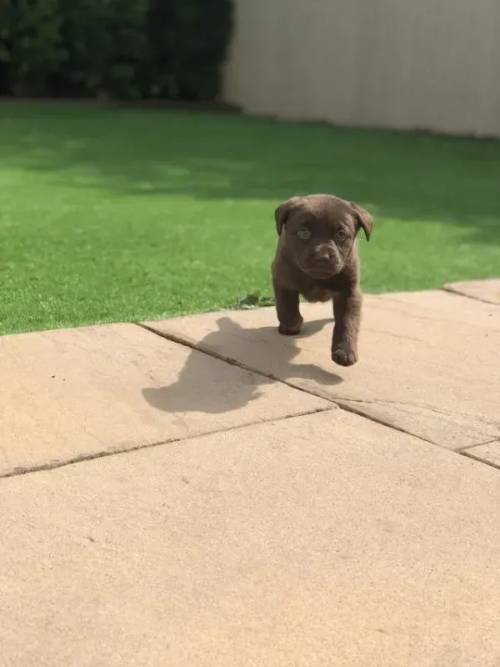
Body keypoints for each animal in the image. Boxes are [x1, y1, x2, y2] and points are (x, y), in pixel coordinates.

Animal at [272, 196, 374, 368]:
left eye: (341, 234)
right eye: (303, 232)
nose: (323, 256)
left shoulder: (349, 292)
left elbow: (347, 322)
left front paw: (345, 351)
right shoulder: (282, 278)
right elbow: (286, 308)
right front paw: (292, 324)